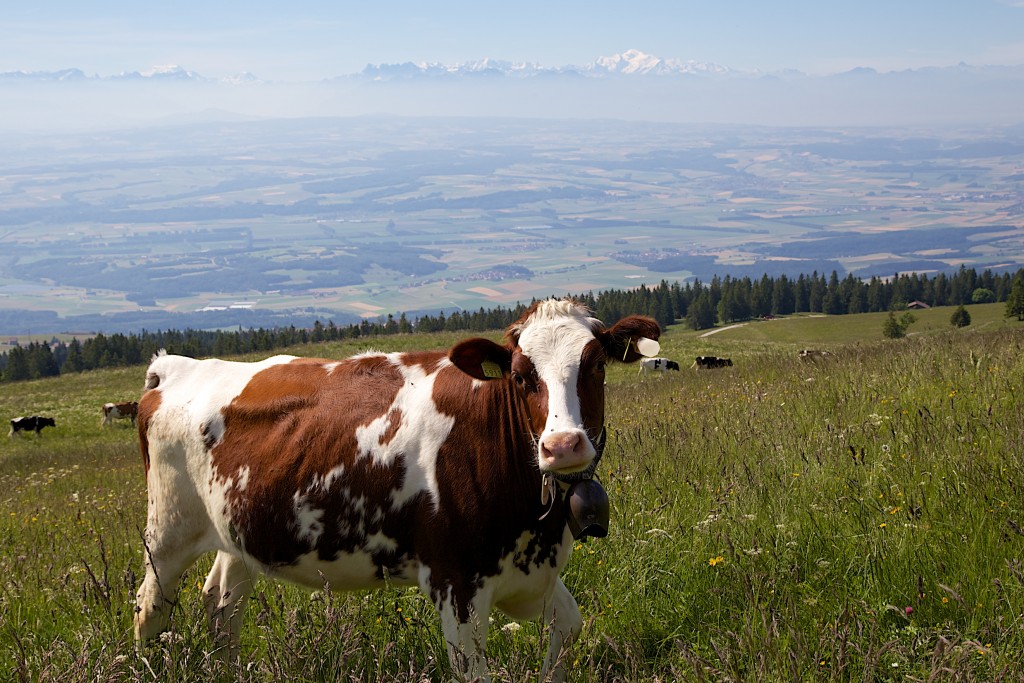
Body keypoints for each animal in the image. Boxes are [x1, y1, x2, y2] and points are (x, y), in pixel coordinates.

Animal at [132, 299, 659, 683]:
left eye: (596, 366)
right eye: (521, 375)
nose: (563, 445)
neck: (536, 525)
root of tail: (178, 367)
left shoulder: (530, 574)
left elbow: (569, 627)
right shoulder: (456, 581)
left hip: (238, 533)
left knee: (222, 606)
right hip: (167, 532)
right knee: (149, 608)